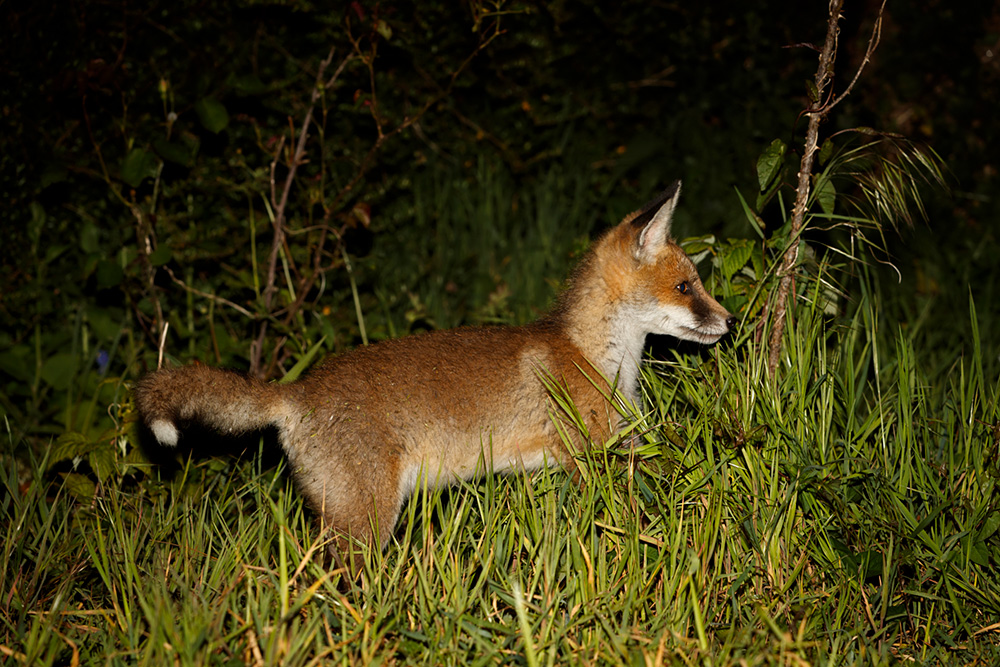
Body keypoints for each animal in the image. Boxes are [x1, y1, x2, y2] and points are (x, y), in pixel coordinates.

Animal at [133, 180, 735, 567]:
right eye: (686, 287)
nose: (730, 321)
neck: (596, 356)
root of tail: (296, 391)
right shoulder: (592, 456)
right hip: (367, 521)